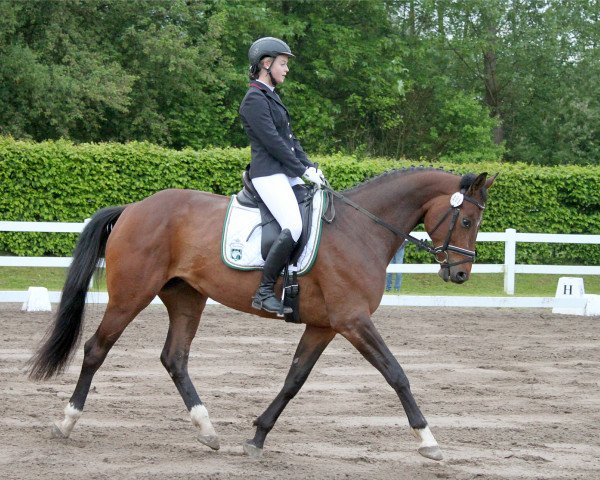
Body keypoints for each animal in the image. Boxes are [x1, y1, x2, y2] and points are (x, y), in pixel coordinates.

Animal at [29, 167, 492, 460]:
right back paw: (67, 422)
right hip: (131, 295)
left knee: (174, 358)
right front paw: (428, 440)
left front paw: (257, 436)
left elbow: (293, 381)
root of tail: (134, 207)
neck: (362, 230)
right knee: (96, 349)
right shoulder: (353, 321)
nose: (461, 273)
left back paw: (207, 431)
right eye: (467, 220)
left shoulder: (324, 325)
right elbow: (396, 373)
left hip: (186, 297)